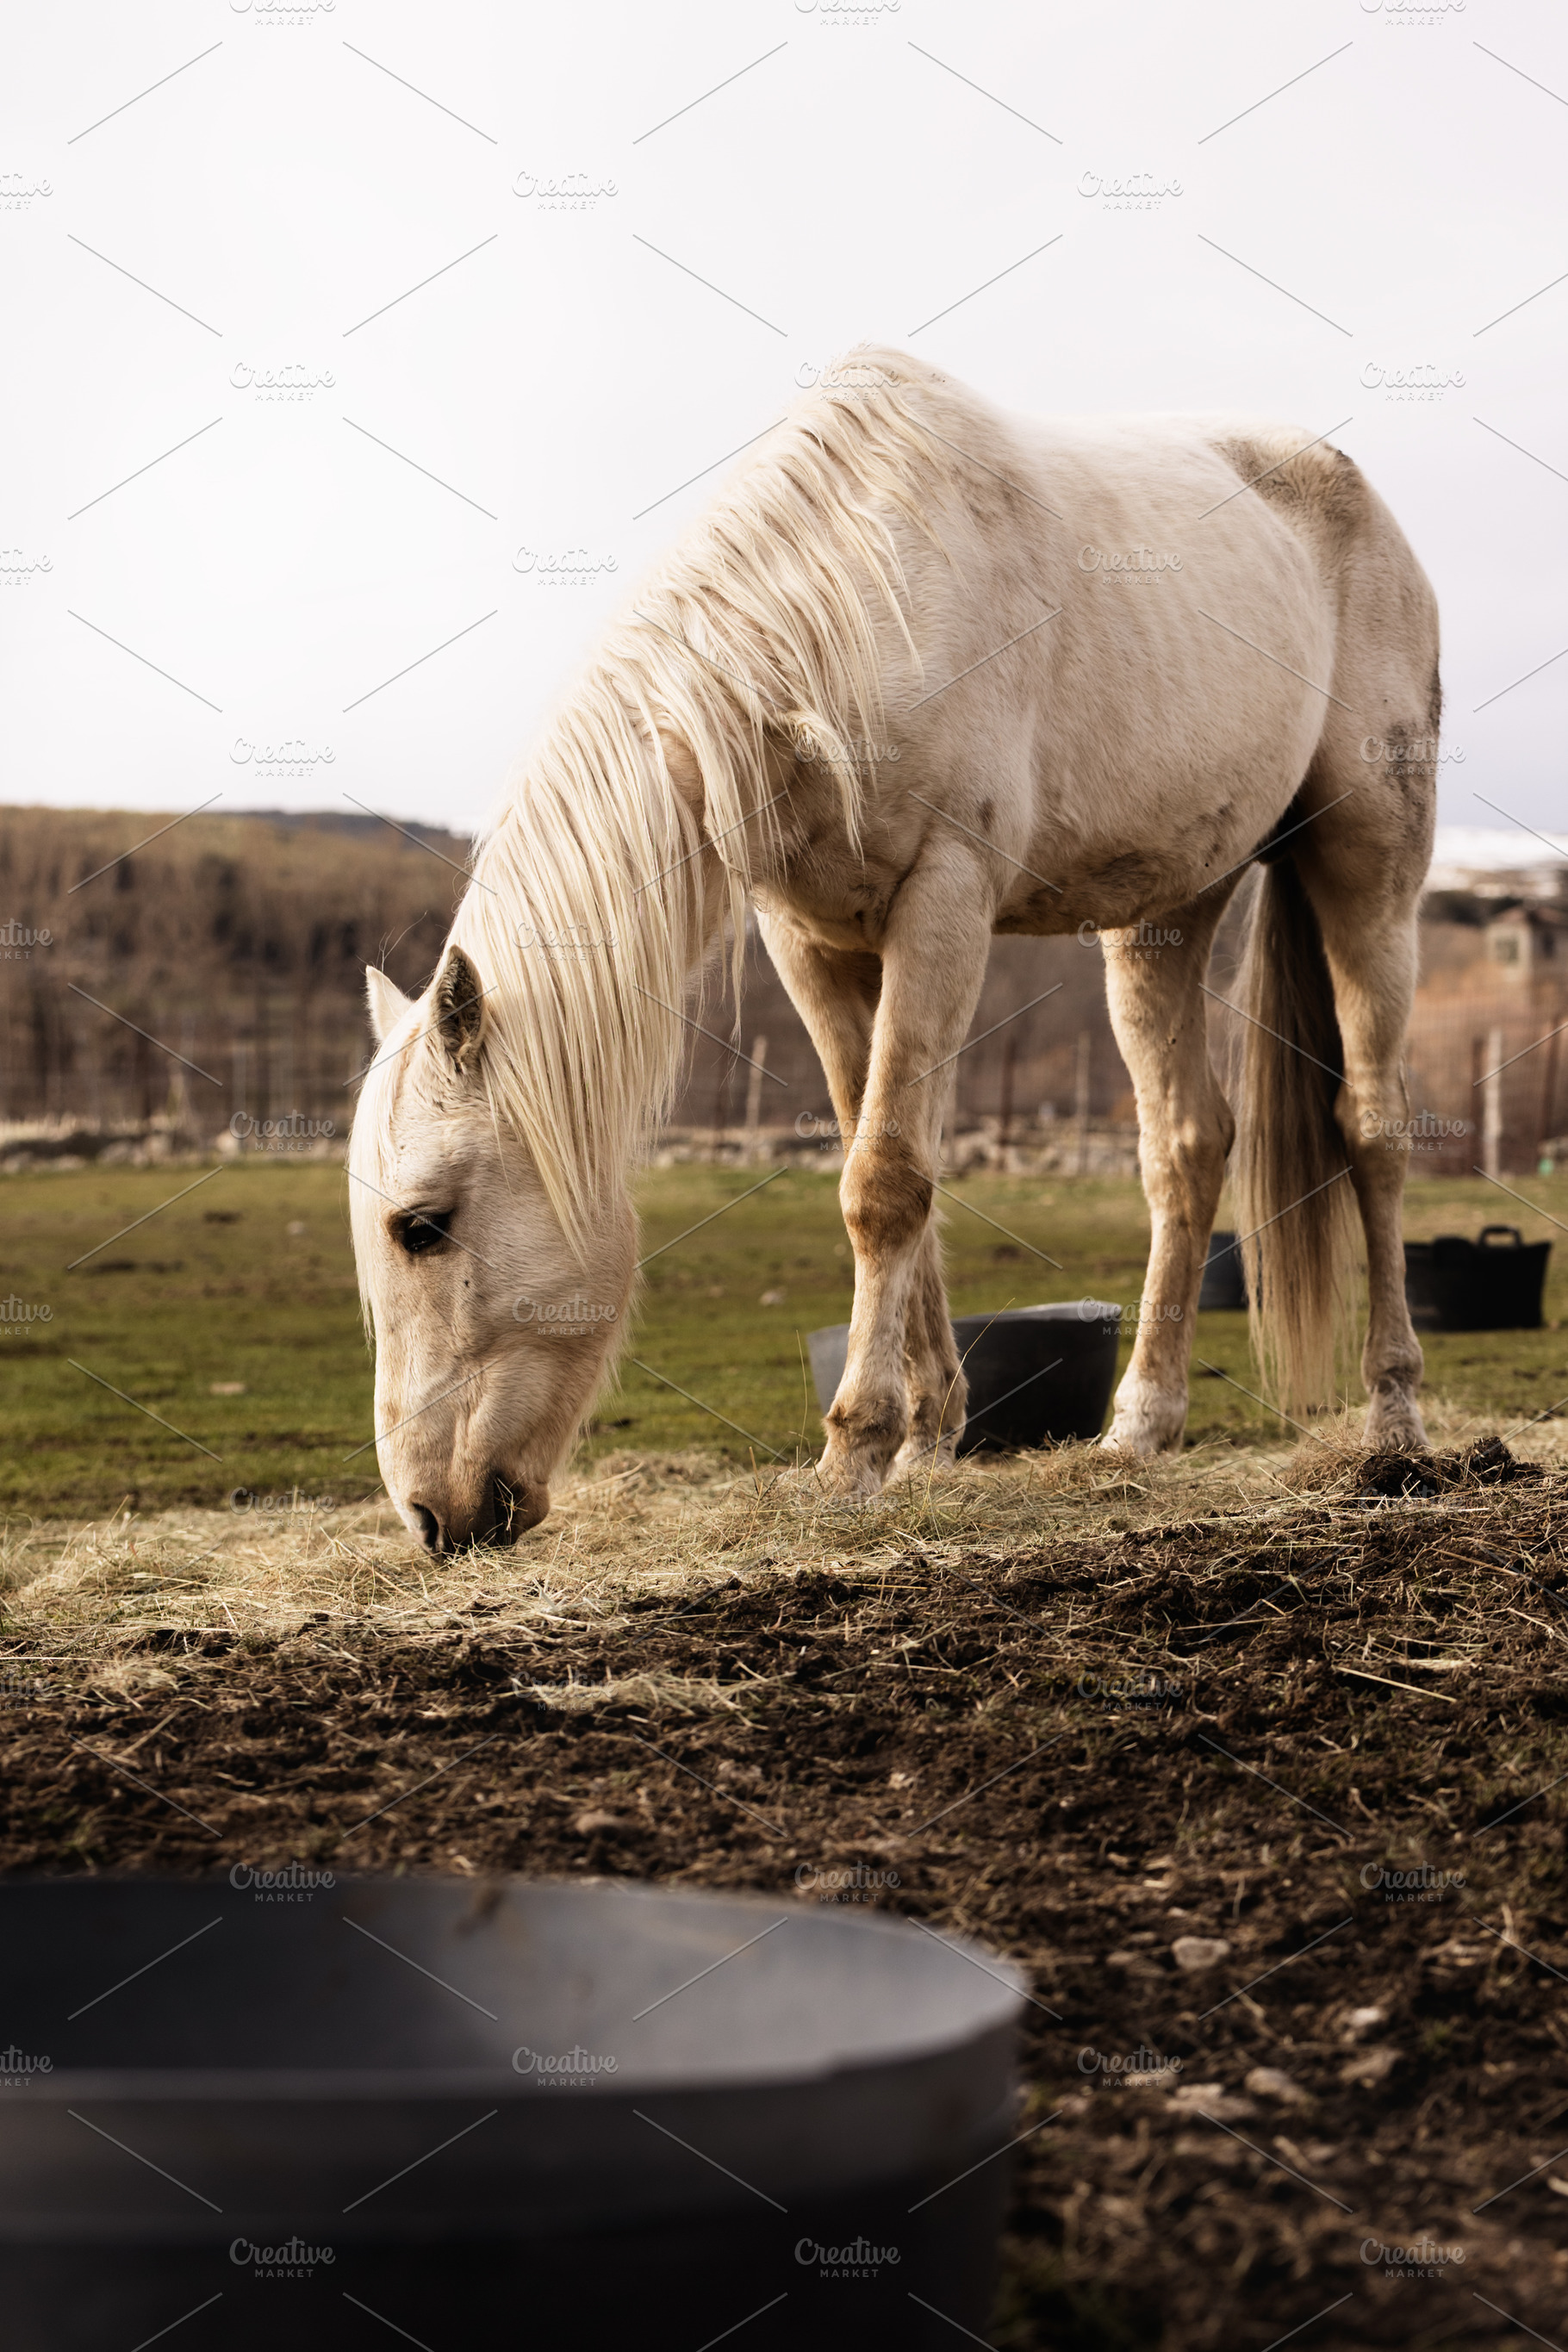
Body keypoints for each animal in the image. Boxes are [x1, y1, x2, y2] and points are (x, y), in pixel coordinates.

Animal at [348, 344, 1438, 1553]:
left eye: (421, 1227)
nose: (430, 1515)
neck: (844, 612)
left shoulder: (944, 903)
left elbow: (885, 1184)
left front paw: (852, 1453)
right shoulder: (810, 941)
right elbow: (885, 1164)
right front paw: (924, 1438)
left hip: (1370, 864)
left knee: (1371, 1127)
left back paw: (1393, 1420)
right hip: (1166, 915)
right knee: (1185, 1146)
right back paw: (1139, 1428)